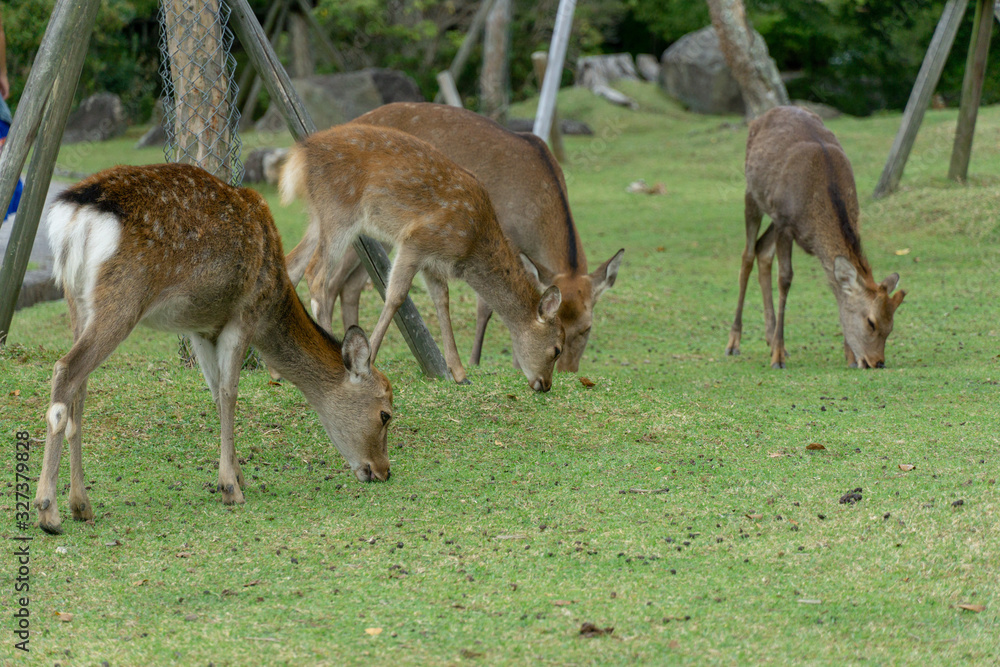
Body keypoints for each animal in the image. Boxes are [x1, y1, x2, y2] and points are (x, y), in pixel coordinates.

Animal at [35, 164, 394, 536]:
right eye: (386, 414)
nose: (383, 470)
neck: (273, 300)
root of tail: (74, 215)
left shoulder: (201, 328)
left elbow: (215, 392)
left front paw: (237, 474)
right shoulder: (242, 314)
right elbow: (229, 393)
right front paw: (231, 488)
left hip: (76, 300)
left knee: (80, 389)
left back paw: (81, 505)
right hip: (123, 297)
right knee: (66, 370)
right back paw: (49, 511)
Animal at [288, 104, 624, 376]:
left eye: (587, 328)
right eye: (560, 344)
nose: (569, 373)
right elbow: (484, 306)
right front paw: (482, 361)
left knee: (325, 274)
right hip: (352, 223)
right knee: (329, 279)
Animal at [728, 107, 908, 374]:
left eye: (891, 326)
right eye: (871, 322)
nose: (877, 362)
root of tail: (765, 114)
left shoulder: (786, 222)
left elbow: (835, 285)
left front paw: (850, 357)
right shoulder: (784, 223)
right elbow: (785, 279)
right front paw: (777, 357)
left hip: (771, 212)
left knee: (762, 250)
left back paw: (770, 338)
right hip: (752, 194)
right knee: (748, 254)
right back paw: (735, 343)